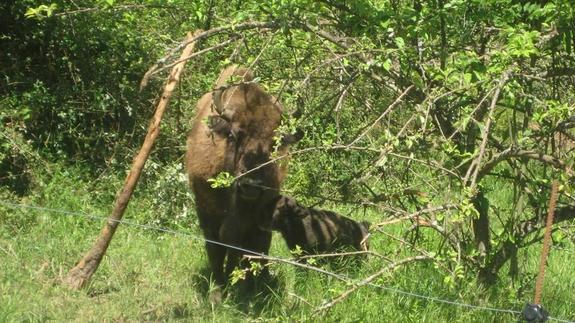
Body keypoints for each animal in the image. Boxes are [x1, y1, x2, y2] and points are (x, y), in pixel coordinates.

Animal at [186, 65, 302, 296]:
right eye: (233, 135)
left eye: (275, 143)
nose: (251, 185)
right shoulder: (206, 212)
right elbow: (216, 247)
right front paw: (217, 291)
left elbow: (251, 244)